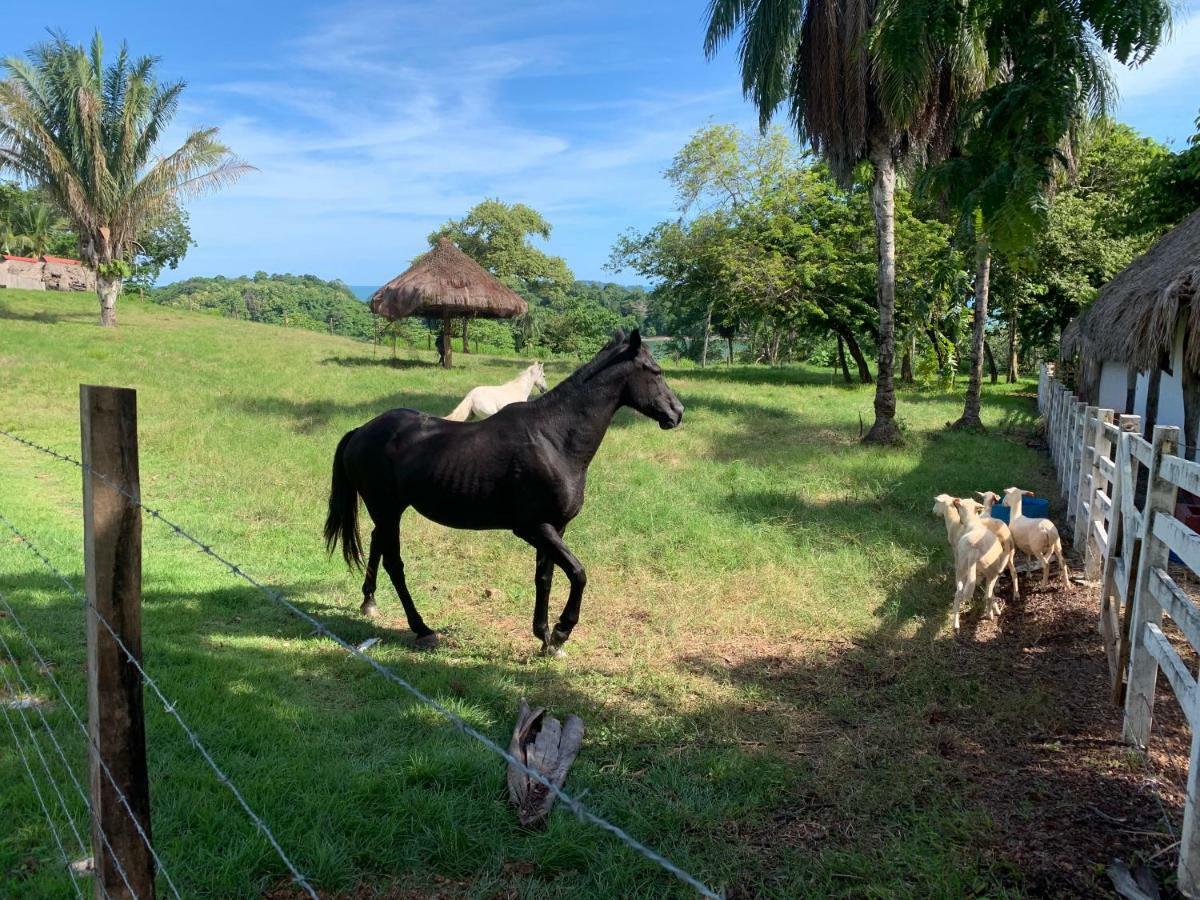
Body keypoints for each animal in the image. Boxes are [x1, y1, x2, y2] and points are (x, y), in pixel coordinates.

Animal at [326, 331, 686, 657]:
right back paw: (422, 628)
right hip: (387, 510)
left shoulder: (554, 528)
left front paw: (545, 638)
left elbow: (545, 577)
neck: (553, 438)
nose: (677, 412)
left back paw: (369, 602)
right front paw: (561, 632)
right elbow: (578, 574)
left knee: (376, 544)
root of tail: (361, 431)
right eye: (655, 371)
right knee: (394, 563)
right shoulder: (532, 528)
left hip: (388, 512)